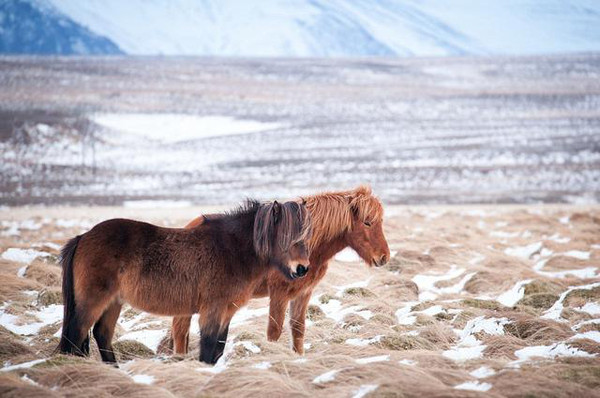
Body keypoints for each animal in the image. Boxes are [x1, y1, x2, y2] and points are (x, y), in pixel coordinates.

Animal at [58, 201, 312, 366]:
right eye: (286, 237)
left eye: (306, 236)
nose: (302, 268)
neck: (231, 250)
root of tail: (83, 237)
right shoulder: (212, 310)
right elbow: (208, 348)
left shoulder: (227, 312)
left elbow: (218, 348)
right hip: (93, 300)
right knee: (76, 332)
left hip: (114, 301)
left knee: (101, 333)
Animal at [169, 186, 390, 354]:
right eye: (367, 222)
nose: (384, 257)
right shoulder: (279, 294)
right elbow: (274, 332)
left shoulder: (303, 293)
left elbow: (298, 330)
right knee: (180, 329)